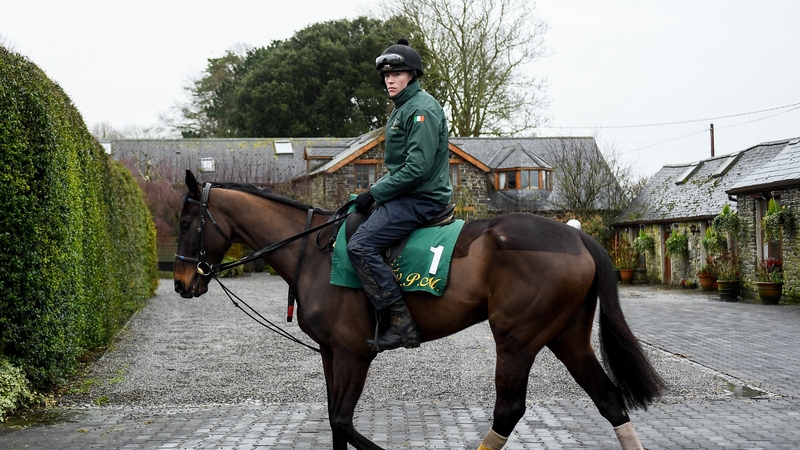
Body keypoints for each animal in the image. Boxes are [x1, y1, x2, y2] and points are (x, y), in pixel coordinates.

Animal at [173, 170, 663, 450]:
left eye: (184, 222)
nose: (180, 282)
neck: (313, 252)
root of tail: (576, 235)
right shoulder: (331, 355)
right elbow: (334, 425)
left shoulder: (353, 355)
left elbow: (343, 422)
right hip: (566, 337)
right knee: (609, 400)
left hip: (517, 339)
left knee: (508, 411)